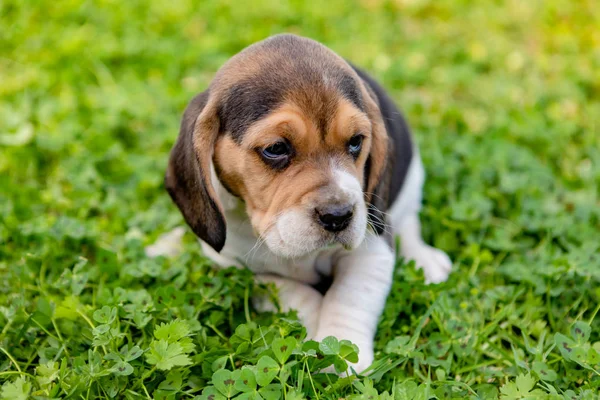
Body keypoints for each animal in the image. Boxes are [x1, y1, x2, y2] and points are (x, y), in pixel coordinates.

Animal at [164, 34, 450, 372]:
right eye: (276, 148)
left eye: (356, 142)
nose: (339, 215)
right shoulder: (233, 266)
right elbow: (294, 292)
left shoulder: (371, 248)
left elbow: (349, 296)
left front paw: (342, 351)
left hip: (412, 178)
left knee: (409, 221)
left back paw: (424, 259)